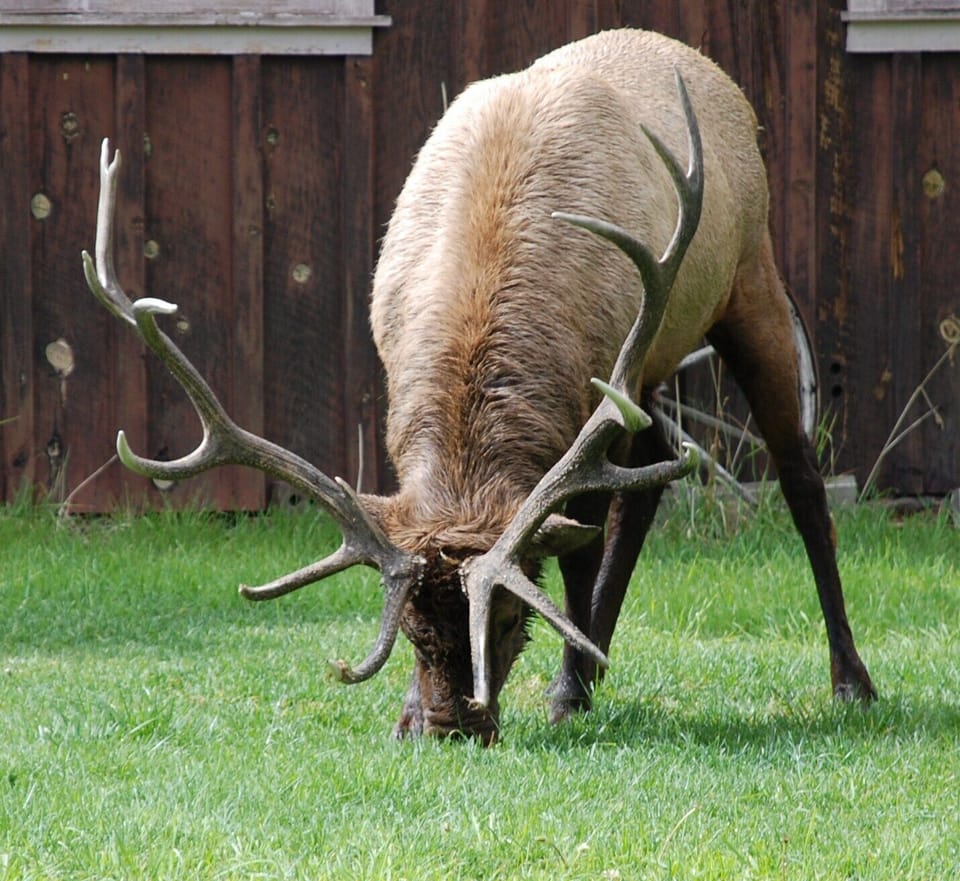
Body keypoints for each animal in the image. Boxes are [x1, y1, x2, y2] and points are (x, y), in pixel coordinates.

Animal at [83, 29, 875, 744]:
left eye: (510, 614)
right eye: (408, 624)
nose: (449, 724)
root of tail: (714, 75)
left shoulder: (595, 398)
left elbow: (577, 546)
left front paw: (566, 690)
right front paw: (415, 710)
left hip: (749, 283)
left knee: (800, 478)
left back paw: (849, 681)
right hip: (651, 369)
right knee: (654, 473)